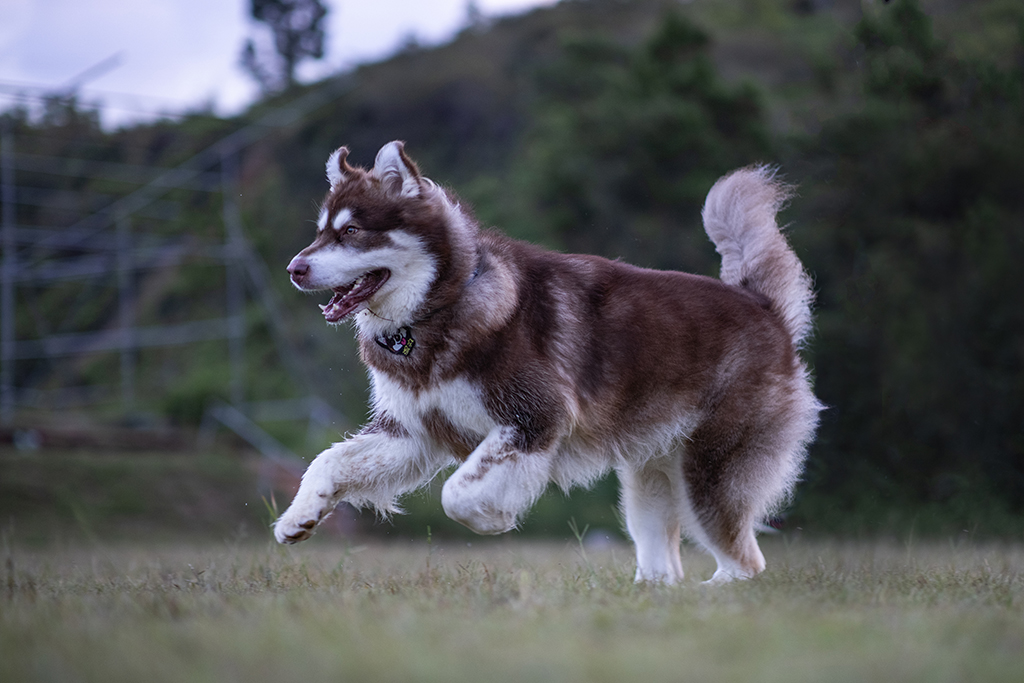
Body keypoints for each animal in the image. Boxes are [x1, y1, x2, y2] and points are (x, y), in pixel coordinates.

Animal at [274, 141, 821, 584]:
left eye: (352, 231)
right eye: (320, 233)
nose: (293, 268)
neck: (440, 308)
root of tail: (762, 306)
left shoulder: (534, 419)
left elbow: (455, 493)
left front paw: (492, 518)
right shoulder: (411, 432)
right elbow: (326, 461)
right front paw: (299, 516)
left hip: (708, 475)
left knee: (747, 563)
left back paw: (716, 595)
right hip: (649, 480)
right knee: (666, 561)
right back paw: (649, 592)